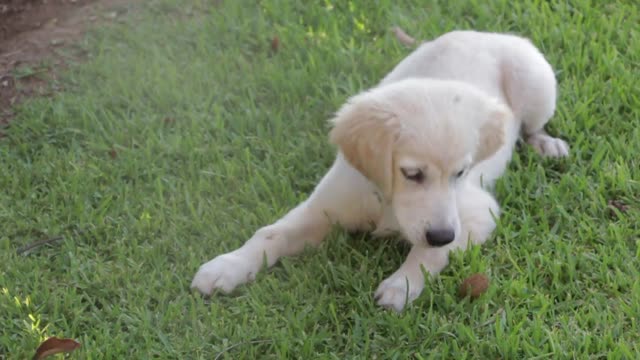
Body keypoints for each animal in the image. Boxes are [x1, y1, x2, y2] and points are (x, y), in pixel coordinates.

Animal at [191, 31, 568, 312]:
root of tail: (487, 33)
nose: (442, 233)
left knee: (532, 127)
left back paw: (547, 145)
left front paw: (402, 284)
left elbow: (429, 252)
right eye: (412, 173)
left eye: (460, 173)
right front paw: (227, 266)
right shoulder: (323, 206)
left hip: (537, 84)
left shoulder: (476, 213)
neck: (386, 202)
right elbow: (270, 233)